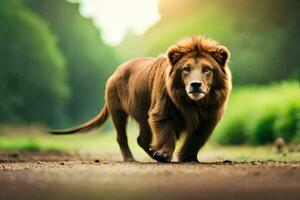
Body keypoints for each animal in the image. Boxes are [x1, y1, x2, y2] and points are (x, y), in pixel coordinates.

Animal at [50, 36, 231, 162]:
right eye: (186, 69)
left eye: (207, 69)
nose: (195, 85)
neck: (194, 103)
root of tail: (115, 72)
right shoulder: (163, 110)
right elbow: (167, 134)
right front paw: (163, 154)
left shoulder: (209, 117)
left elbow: (196, 139)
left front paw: (187, 157)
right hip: (118, 110)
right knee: (122, 136)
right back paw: (132, 158)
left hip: (142, 113)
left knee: (142, 139)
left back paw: (152, 153)